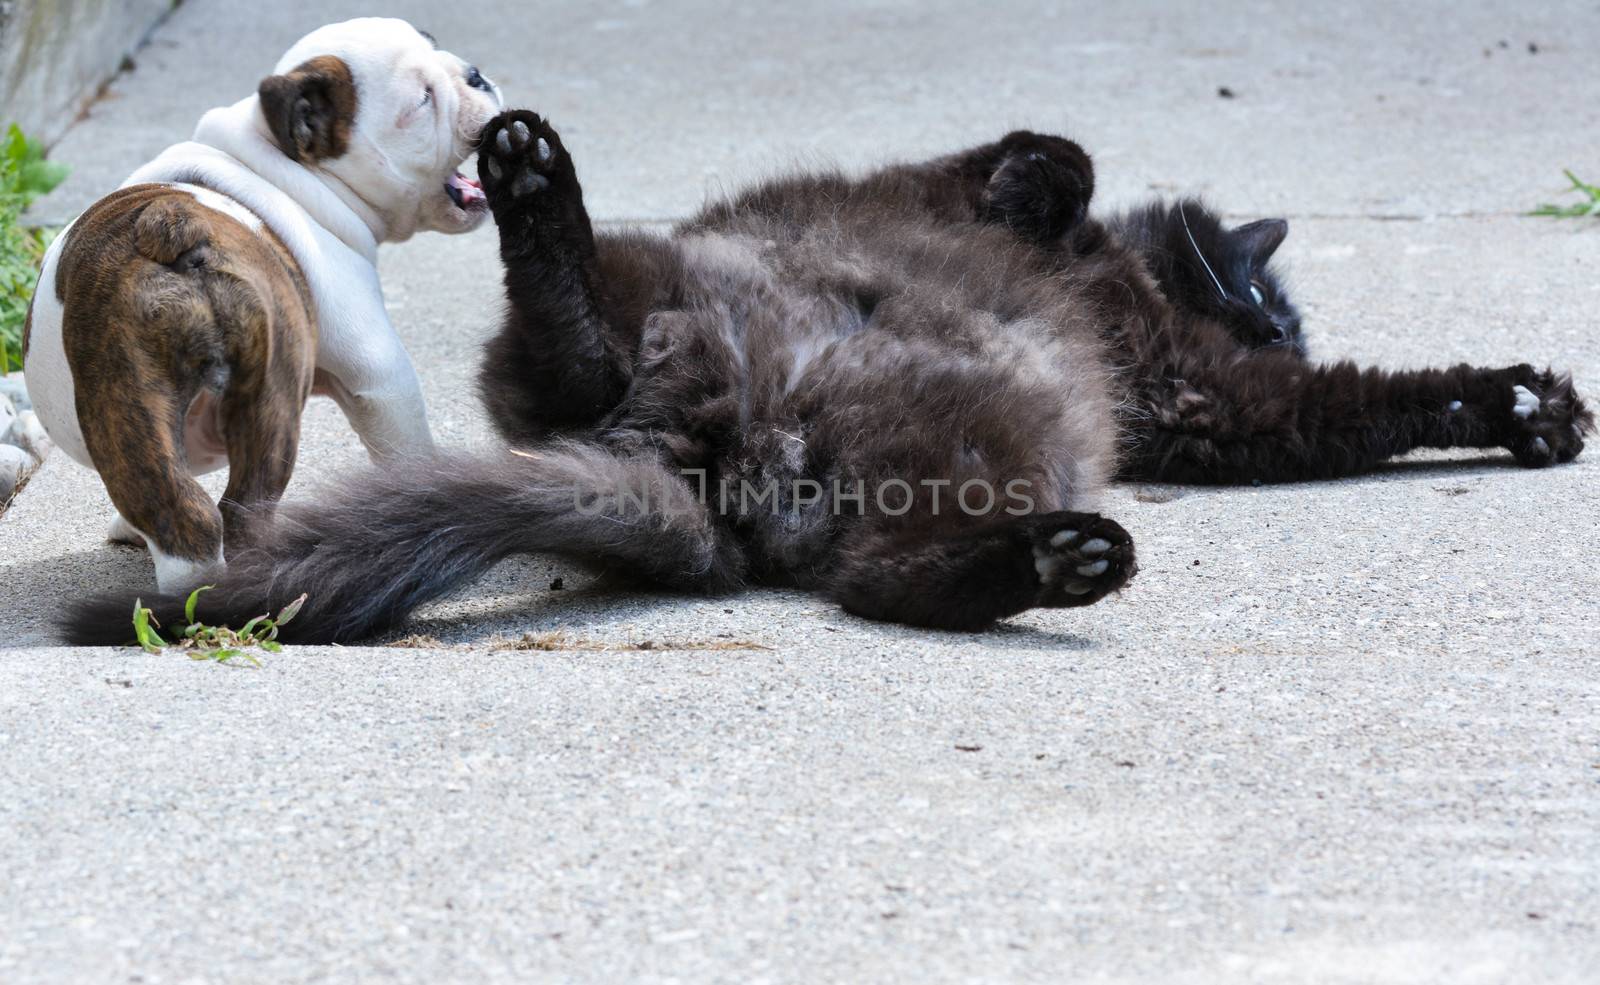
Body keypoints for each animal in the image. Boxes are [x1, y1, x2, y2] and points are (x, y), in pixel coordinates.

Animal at [23, 19, 499, 591]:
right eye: (423, 100)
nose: (476, 74)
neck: (284, 161)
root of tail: (170, 226)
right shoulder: (380, 376)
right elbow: (404, 443)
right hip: (272, 398)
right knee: (240, 510)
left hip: (128, 390)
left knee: (179, 513)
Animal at [62, 113, 1587, 646]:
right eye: (1270, 298)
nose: (1275, 330)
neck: (1122, 282)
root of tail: (714, 466)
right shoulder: (929, 183)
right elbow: (1048, 156)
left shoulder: (1206, 405)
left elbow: (1365, 404)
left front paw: (1522, 410)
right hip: (659, 289)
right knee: (569, 329)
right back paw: (532, 172)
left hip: (988, 443)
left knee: (889, 583)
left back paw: (1061, 561)